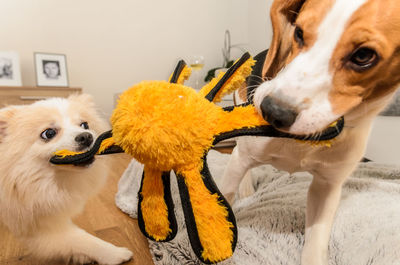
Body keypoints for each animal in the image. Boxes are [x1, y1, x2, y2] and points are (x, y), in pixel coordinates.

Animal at [219, 0, 400, 262]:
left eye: (363, 56)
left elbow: (317, 239)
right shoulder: (242, 157)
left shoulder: (327, 186)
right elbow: (224, 197)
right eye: (299, 32)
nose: (273, 111)